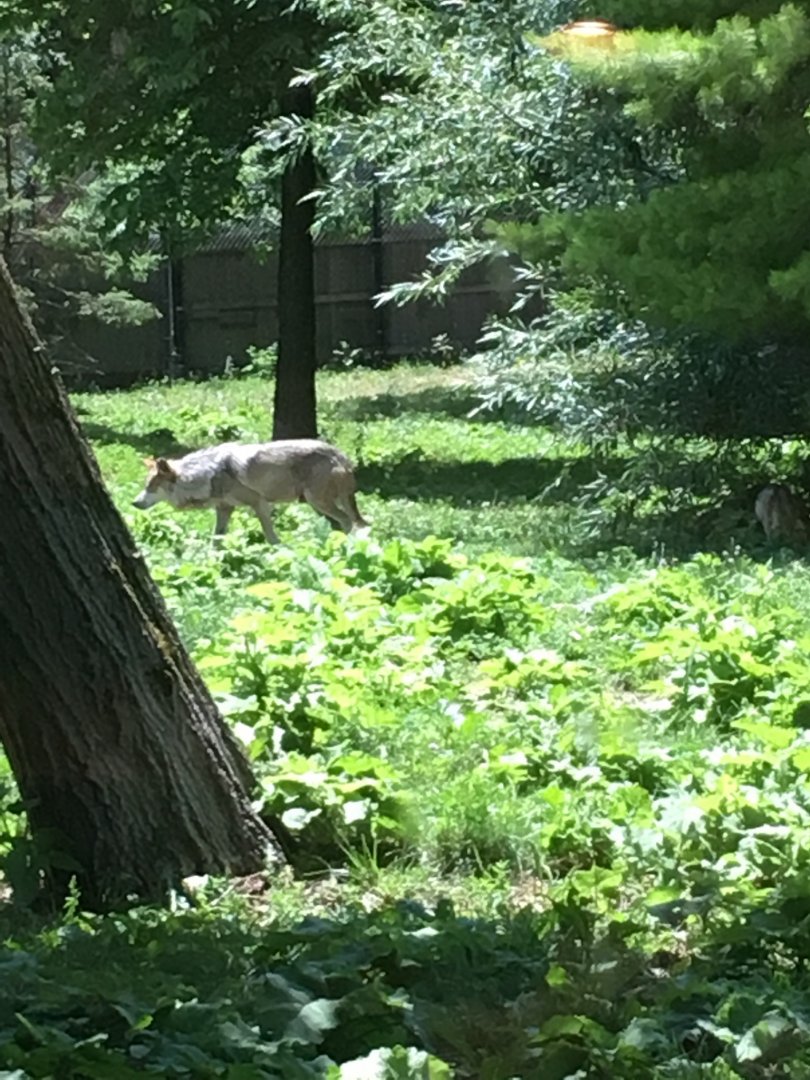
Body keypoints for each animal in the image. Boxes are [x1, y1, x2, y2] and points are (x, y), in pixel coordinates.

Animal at [132, 439, 368, 544]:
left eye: (151, 486)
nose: (134, 503)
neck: (206, 475)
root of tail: (341, 455)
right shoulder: (224, 509)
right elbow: (215, 539)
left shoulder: (259, 505)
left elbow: (271, 538)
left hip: (316, 501)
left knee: (348, 521)